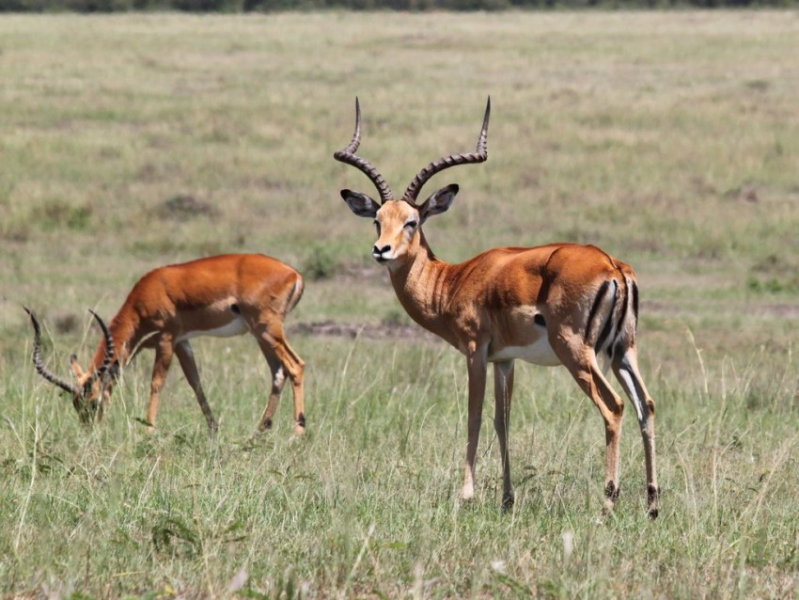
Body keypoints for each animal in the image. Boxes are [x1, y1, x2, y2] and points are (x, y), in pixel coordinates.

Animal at [25, 253, 306, 436]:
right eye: (75, 404)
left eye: (93, 402)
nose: (88, 431)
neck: (145, 296)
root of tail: (294, 273)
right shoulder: (183, 342)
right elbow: (195, 383)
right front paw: (213, 430)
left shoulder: (166, 339)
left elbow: (156, 383)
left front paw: (149, 430)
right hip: (261, 335)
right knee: (278, 373)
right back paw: (259, 433)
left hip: (267, 329)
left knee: (296, 366)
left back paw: (297, 433)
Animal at [334, 101, 660, 516]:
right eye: (378, 220)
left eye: (412, 221)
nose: (381, 250)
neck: (453, 280)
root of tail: (612, 266)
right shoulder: (505, 360)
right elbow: (501, 421)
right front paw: (507, 498)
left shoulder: (476, 351)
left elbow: (473, 416)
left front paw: (466, 494)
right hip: (622, 352)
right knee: (645, 404)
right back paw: (652, 502)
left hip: (577, 353)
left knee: (614, 406)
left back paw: (607, 503)